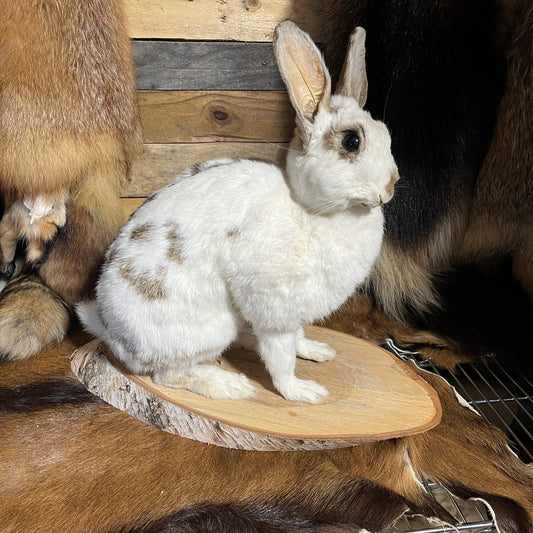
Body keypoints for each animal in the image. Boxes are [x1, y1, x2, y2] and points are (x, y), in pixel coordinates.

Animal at [77, 20, 396, 404]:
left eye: (387, 134)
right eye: (352, 141)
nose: (391, 186)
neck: (310, 211)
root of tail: (109, 331)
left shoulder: (292, 313)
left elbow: (297, 338)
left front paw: (318, 351)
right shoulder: (273, 307)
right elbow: (281, 358)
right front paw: (304, 393)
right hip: (208, 329)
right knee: (169, 375)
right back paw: (230, 385)